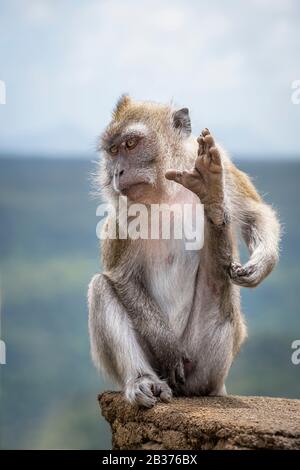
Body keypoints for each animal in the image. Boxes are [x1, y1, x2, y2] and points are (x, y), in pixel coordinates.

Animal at [88, 95, 280, 408]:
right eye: (113, 151)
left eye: (131, 144)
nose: (117, 172)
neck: (166, 191)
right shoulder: (121, 211)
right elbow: (121, 276)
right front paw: (167, 348)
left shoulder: (224, 166)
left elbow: (255, 213)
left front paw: (262, 263)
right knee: (101, 287)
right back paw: (143, 381)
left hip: (207, 364)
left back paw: (212, 198)